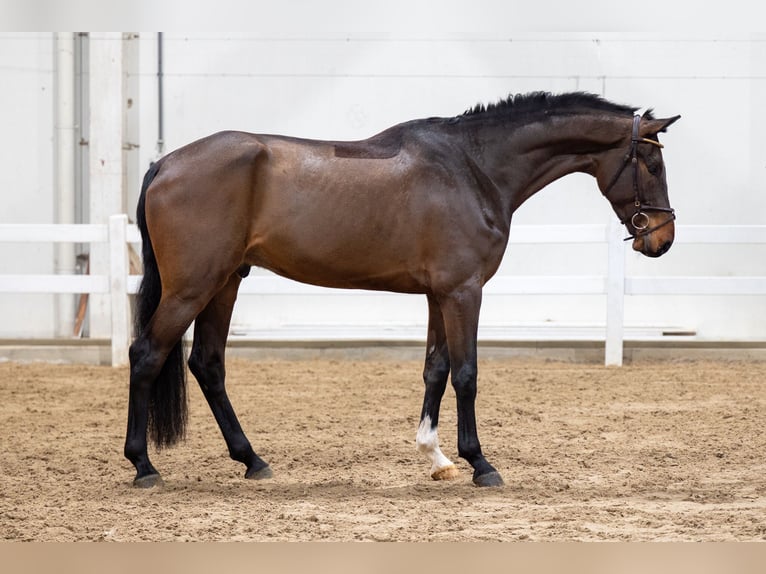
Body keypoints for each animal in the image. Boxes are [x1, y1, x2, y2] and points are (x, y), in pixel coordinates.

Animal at [123, 92, 680, 488]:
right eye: (653, 165)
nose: (662, 239)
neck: (473, 168)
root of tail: (165, 163)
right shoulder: (464, 292)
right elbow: (467, 374)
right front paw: (480, 463)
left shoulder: (440, 295)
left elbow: (436, 369)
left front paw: (436, 457)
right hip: (191, 287)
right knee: (147, 354)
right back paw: (144, 466)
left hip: (223, 284)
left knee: (207, 363)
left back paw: (252, 460)